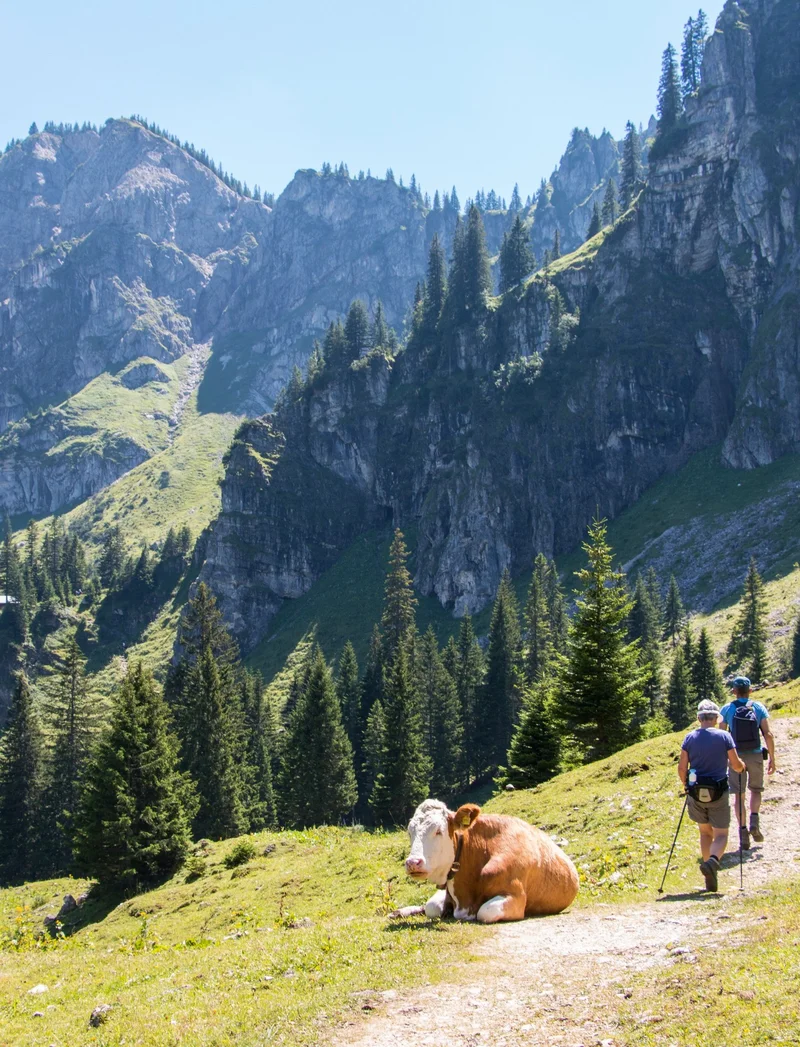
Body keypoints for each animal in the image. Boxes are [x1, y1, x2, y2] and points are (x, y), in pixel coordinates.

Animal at [395, 799, 579, 923]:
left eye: (438, 831)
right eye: (410, 832)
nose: (413, 862)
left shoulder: (515, 896)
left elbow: (485, 912)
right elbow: (431, 907)